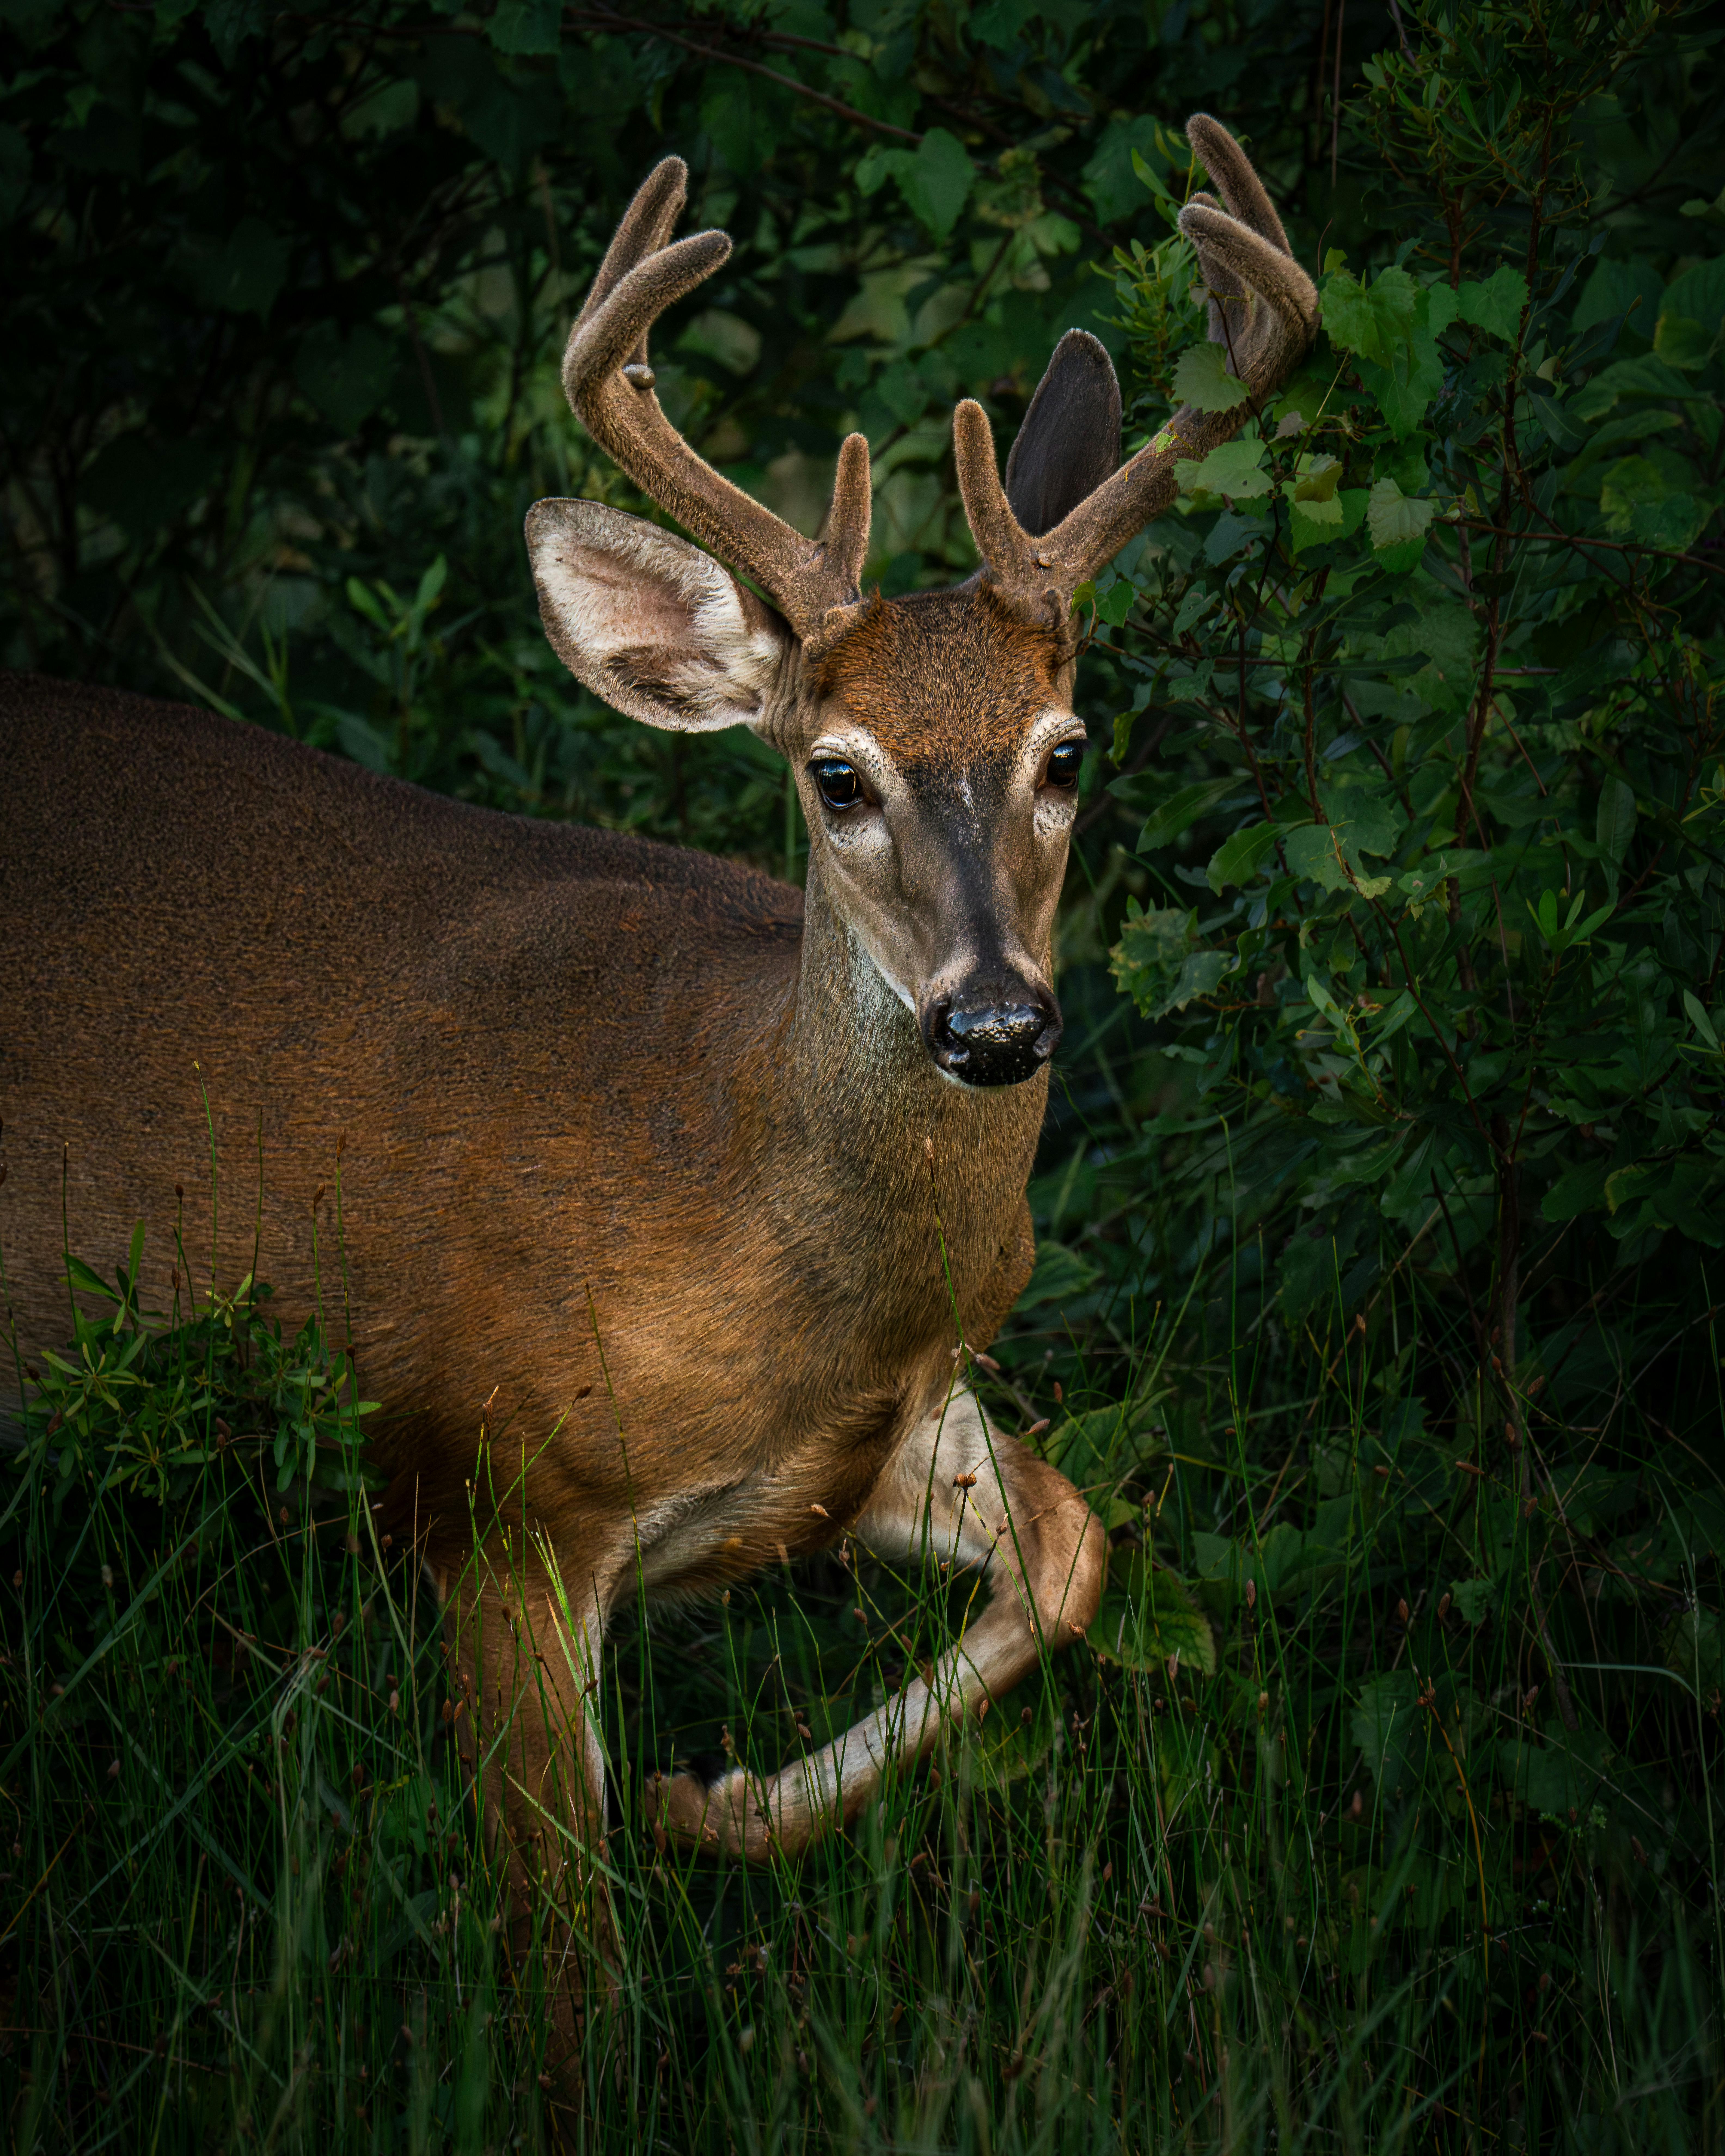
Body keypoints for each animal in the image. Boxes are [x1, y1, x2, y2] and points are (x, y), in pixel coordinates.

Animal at [0, 113, 1312, 1991]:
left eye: (1067, 749)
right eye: (835, 773)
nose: (992, 1021)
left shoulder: (880, 1433)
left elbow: (1071, 1552)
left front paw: (718, 1797)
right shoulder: (494, 1495)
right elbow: (564, 1948)